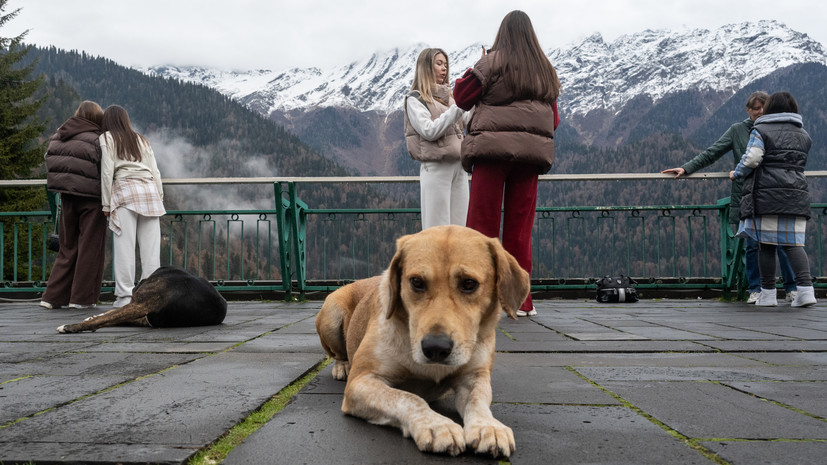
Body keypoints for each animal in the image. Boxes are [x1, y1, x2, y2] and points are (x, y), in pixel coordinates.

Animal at [314, 225, 532, 456]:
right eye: (417, 282)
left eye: (469, 283)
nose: (436, 348)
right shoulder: (361, 382)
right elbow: (409, 398)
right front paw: (438, 425)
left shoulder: (474, 376)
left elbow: (478, 400)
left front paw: (488, 427)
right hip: (331, 313)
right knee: (338, 354)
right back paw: (342, 366)